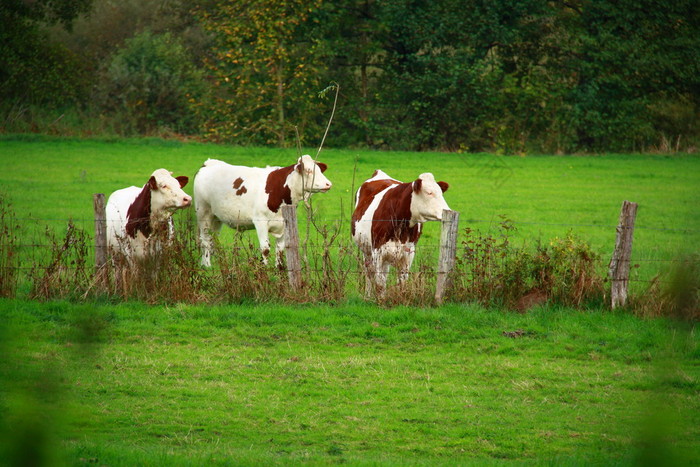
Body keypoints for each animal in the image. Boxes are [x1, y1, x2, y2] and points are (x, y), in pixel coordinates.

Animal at [193, 155, 332, 268]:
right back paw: (207, 265)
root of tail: (209, 163)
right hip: (203, 212)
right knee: (205, 240)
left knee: (212, 239)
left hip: (216, 218)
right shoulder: (260, 222)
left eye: (320, 170)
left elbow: (280, 249)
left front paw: (279, 270)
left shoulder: (283, 223)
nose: (328, 184)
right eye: (309, 170)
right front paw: (264, 271)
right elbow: (265, 249)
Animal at [352, 170, 452, 298]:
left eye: (441, 193)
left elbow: (402, 282)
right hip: (367, 250)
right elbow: (379, 282)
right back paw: (368, 296)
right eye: (429, 193)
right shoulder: (378, 251)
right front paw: (380, 300)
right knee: (369, 272)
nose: (448, 210)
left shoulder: (408, 253)